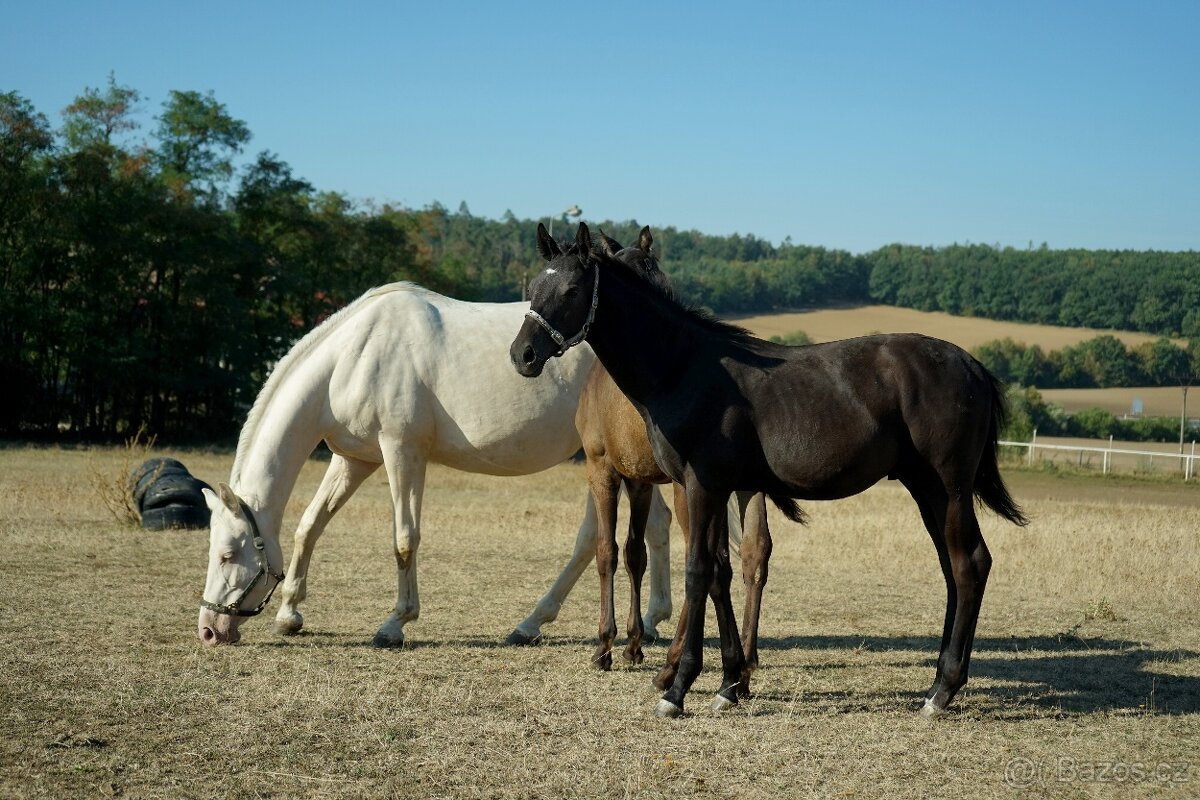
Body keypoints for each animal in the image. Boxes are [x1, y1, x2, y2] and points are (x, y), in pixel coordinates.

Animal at [194, 284, 676, 647]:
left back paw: (538, 623)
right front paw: (289, 614)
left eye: (227, 554)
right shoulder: (354, 459)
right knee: (655, 525)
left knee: (598, 538)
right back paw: (646, 620)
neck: (353, 355)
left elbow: (404, 539)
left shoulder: (402, 452)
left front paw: (394, 625)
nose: (209, 630)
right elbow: (310, 525)